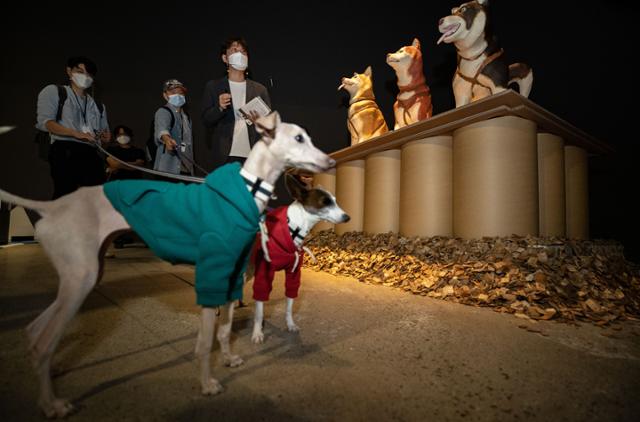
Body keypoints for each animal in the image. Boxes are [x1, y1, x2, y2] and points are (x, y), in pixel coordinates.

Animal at [250, 174, 350, 342]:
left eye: (335, 201)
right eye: (325, 201)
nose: (347, 217)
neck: (293, 230)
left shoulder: (294, 273)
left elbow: (289, 304)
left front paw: (290, 324)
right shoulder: (263, 274)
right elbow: (259, 309)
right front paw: (257, 332)